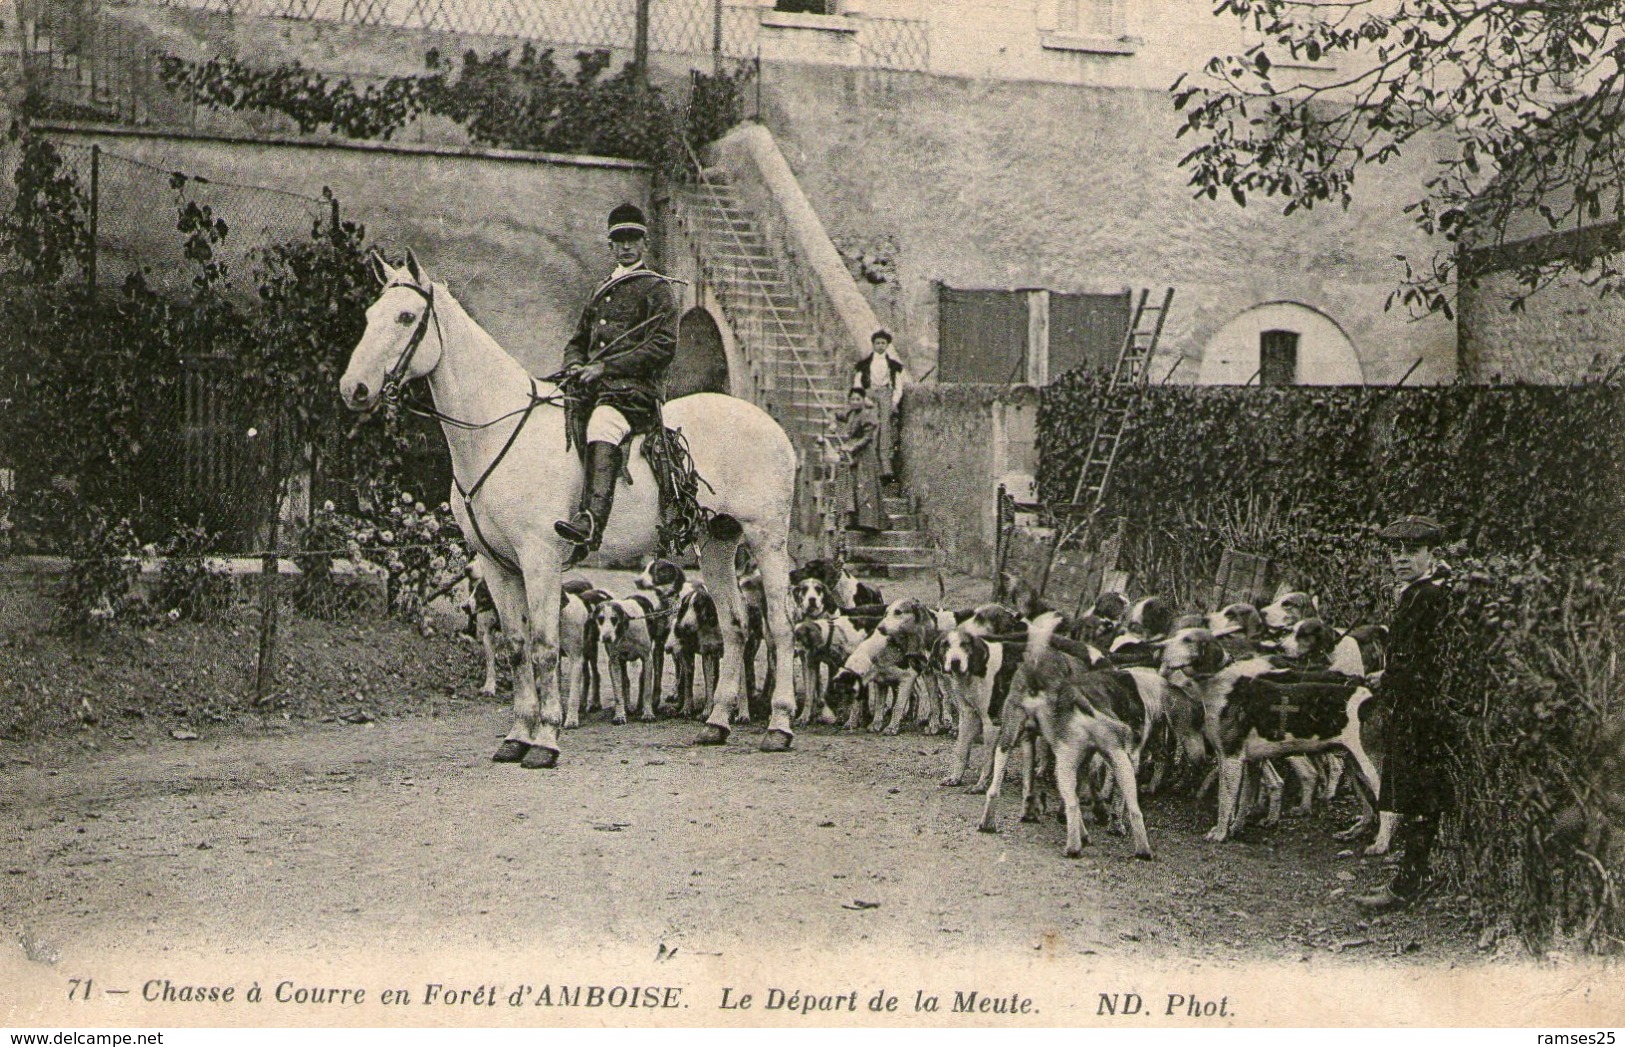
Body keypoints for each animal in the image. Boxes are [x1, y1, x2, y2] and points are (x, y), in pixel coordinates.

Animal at [342, 248, 799, 764]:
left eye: (405, 316)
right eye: (369, 316)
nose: (353, 388)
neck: (496, 431)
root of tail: (773, 428)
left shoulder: (539, 558)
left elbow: (543, 647)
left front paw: (545, 739)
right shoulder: (496, 565)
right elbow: (517, 646)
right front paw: (516, 735)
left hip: (766, 540)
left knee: (781, 627)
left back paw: (779, 726)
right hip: (716, 543)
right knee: (735, 626)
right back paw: (718, 722)